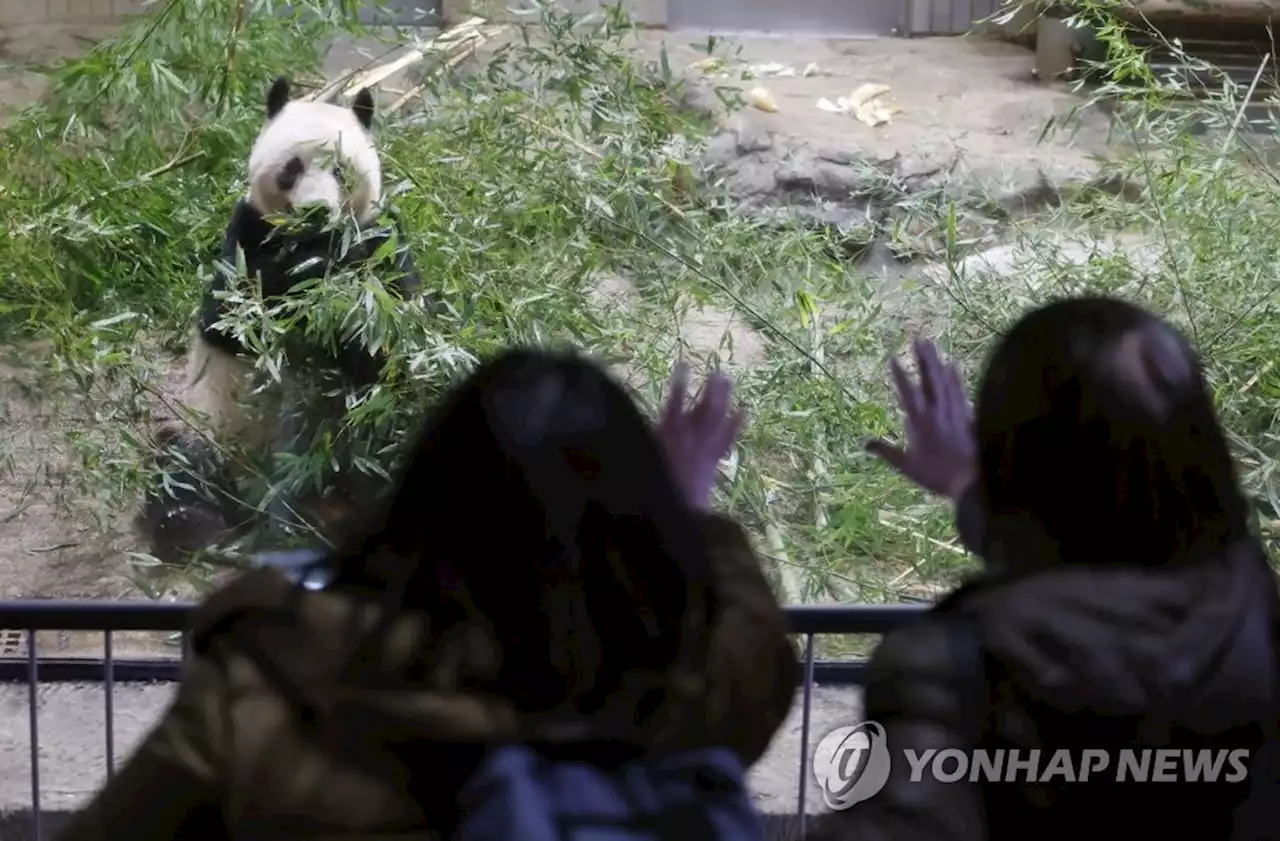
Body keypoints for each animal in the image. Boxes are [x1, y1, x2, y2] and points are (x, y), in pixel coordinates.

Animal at [140, 75, 422, 560]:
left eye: (340, 171)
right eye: (292, 168)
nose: (316, 211)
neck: (316, 239)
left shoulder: (381, 238)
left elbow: (391, 334)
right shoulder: (245, 234)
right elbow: (229, 319)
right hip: (211, 428)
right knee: (180, 463)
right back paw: (190, 522)